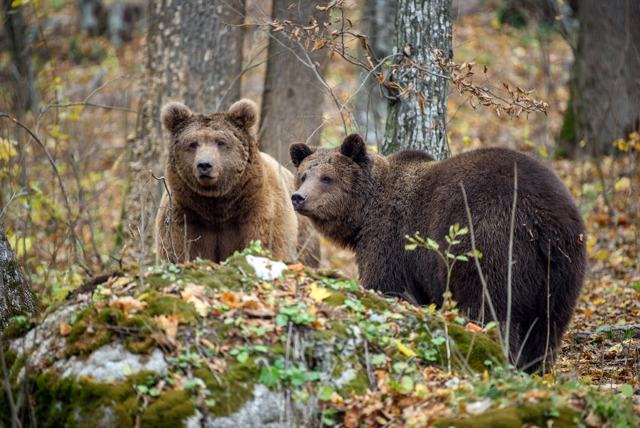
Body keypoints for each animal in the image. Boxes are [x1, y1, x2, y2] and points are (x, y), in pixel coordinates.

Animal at [155, 99, 320, 266]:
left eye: (221, 142)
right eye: (192, 143)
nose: (204, 165)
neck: (217, 204)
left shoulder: (258, 208)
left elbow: (267, 243)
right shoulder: (186, 214)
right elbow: (178, 251)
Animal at [290, 135, 584, 372]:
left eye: (327, 177)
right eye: (304, 175)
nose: (298, 197)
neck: (363, 216)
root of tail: (542, 220)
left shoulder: (391, 242)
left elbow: (386, 284)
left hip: (489, 242)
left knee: (490, 307)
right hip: (561, 269)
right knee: (547, 326)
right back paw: (535, 368)